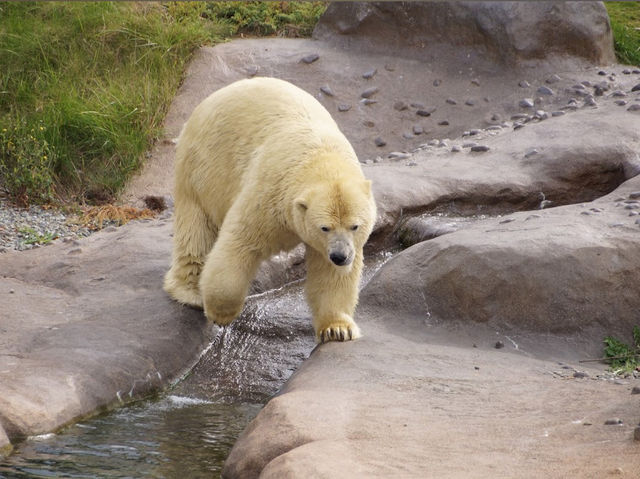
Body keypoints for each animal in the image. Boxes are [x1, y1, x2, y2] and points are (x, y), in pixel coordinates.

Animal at [162, 77, 378, 344]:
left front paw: (337, 329)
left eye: (355, 226)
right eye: (324, 227)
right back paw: (190, 292)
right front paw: (221, 313)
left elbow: (330, 275)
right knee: (196, 228)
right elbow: (240, 242)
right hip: (203, 166)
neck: (320, 155)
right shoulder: (270, 192)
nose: (340, 256)